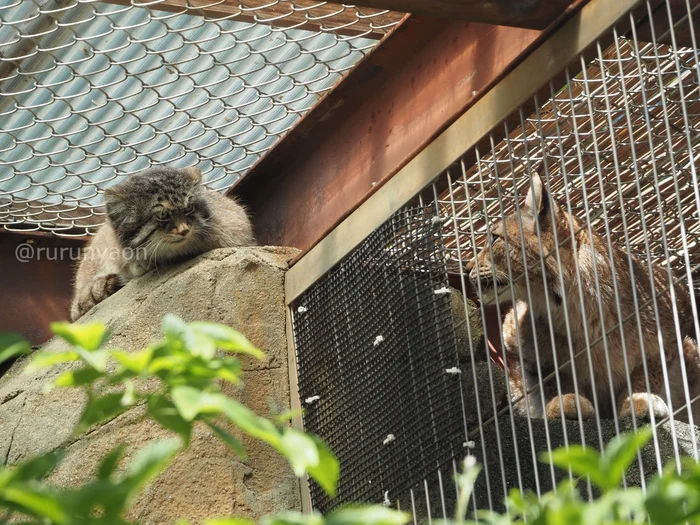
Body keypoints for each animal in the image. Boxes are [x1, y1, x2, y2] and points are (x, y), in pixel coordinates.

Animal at [464, 174, 700, 424]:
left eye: (494, 239)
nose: (467, 268)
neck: (577, 307)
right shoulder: (516, 337)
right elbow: (556, 376)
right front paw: (566, 401)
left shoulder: (673, 324)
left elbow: (646, 373)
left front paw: (636, 399)